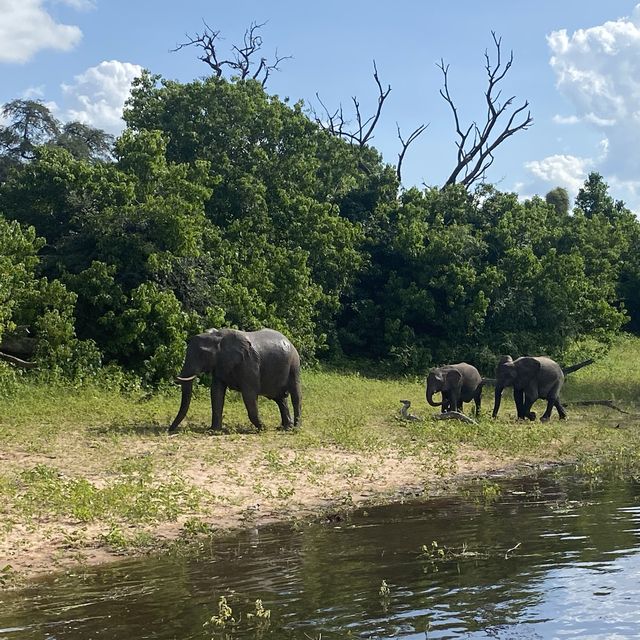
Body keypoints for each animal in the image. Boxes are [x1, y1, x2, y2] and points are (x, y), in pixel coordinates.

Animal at [169, 324, 302, 436]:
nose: (169, 430)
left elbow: (249, 395)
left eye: (202, 354)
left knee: (295, 396)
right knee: (280, 399)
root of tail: (290, 342)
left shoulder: (249, 364)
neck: (218, 337)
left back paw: (295, 428)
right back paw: (285, 427)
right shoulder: (220, 364)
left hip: (294, 365)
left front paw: (263, 428)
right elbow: (216, 393)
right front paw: (213, 431)